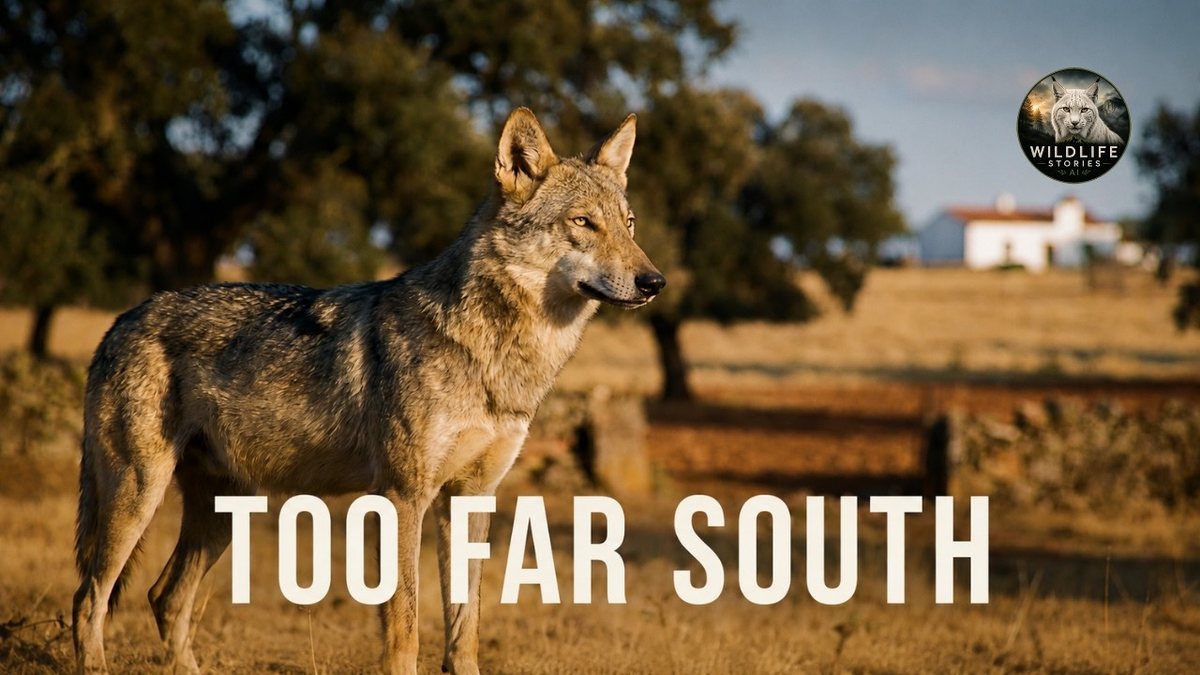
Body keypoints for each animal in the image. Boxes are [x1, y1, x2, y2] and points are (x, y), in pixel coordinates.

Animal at [72, 108, 664, 674]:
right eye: (583, 223)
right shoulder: (402, 496)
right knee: (89, 598)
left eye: (629, 224)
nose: (654, 282)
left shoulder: (471, 498)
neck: (496, 355)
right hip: (138, 495)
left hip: (226, 512)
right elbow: (404, 623)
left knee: (163, 596)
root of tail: (121, 321)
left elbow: (464, 625)